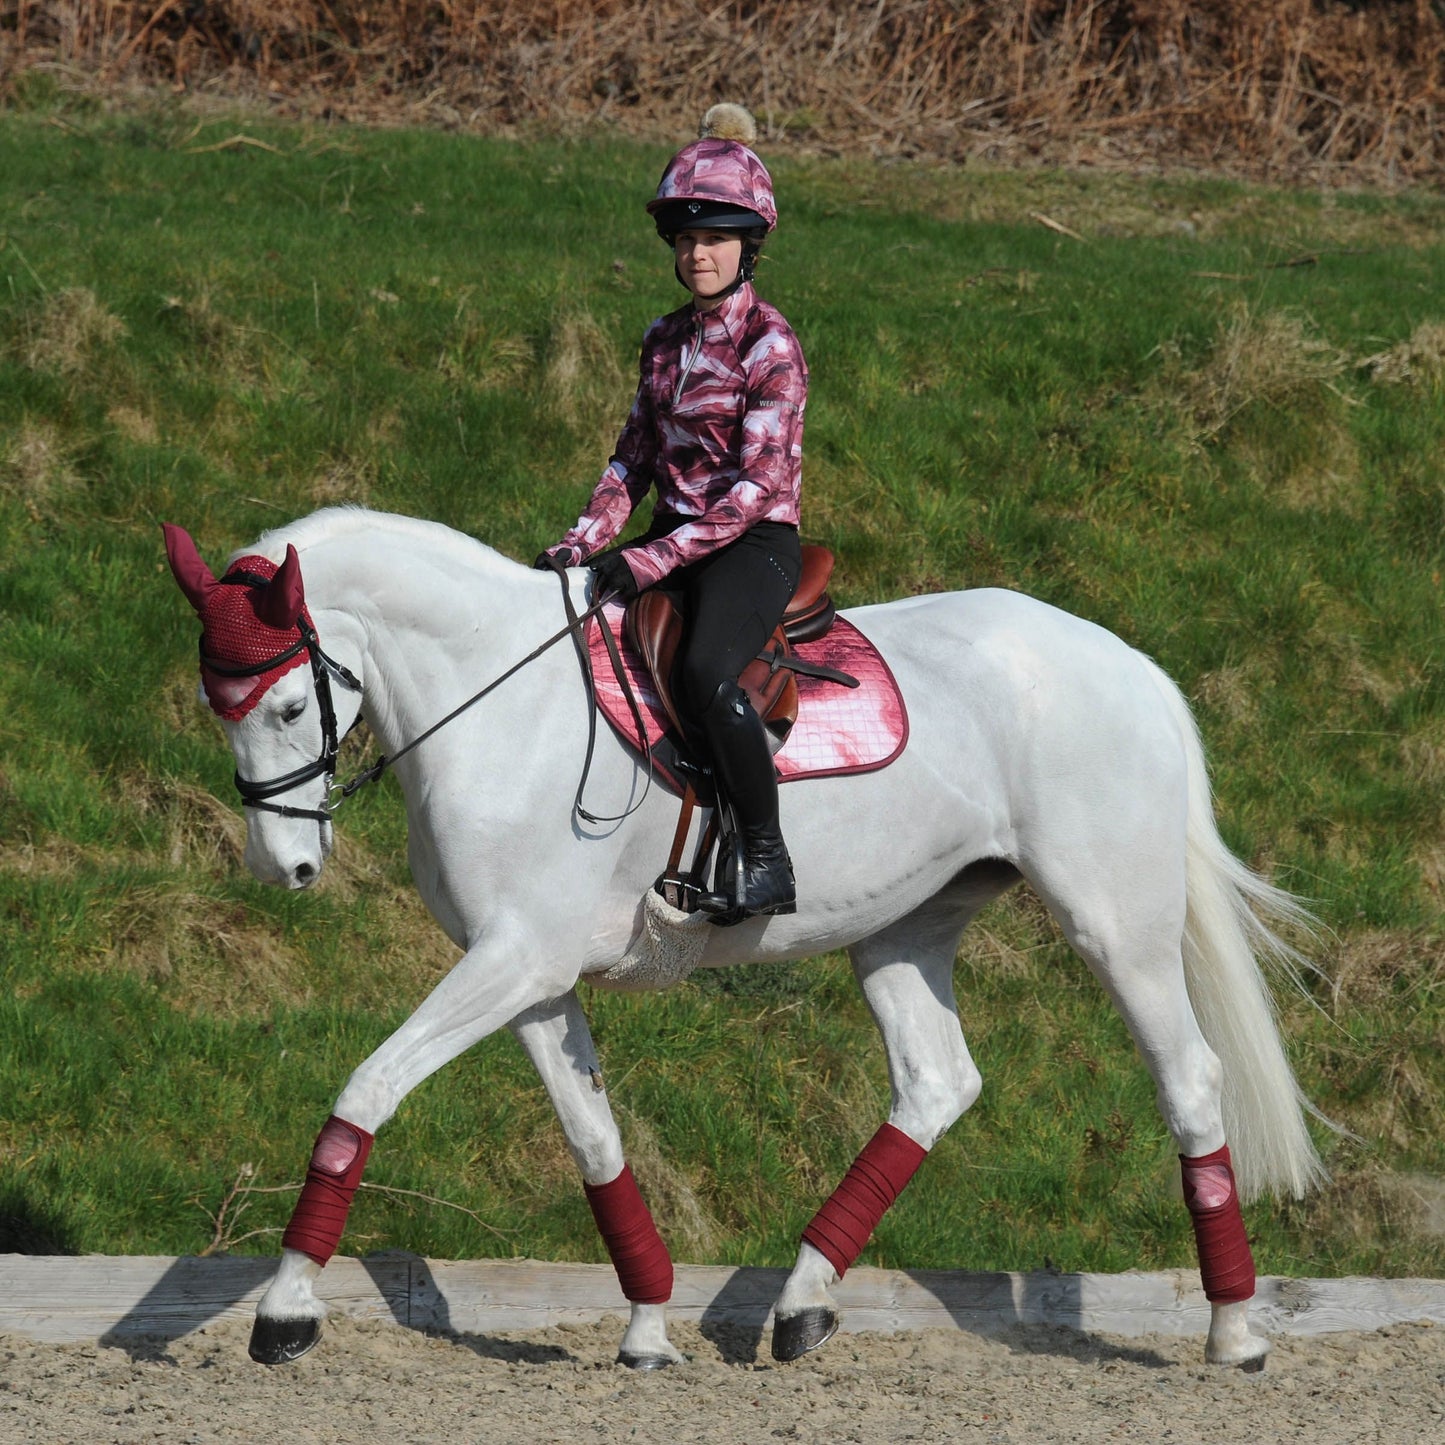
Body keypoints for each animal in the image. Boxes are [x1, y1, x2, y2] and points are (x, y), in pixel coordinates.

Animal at [164, 511, 1323, 1375]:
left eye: (285, 703)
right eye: (217, 707)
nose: (282, 868)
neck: (497, 701)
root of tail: (1128, 662)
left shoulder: (512, 960)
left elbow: (365, 1089)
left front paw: (284, 1308)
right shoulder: (529, 974)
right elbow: (594, 1139)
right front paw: (646, 1327)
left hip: (1112, 922)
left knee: (1188, 1078)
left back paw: (1233, 1331)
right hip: (901, 929)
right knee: (936, 1082)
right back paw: (802, 1302)